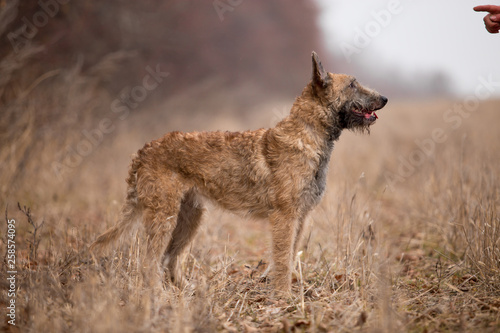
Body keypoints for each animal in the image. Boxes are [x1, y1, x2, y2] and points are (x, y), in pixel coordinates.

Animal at [91, 52, 386, 296]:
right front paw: (284, 298)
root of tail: (143, 151)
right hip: (164, 216)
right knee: (150, 261)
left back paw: (189, 291)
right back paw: (158, 296)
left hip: (189, 217)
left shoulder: (300, 218)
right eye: (352, 84)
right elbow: (282, 259)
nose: (384, 98)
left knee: (169, 258)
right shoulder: (285, 217)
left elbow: (290, 258)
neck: (307, 133)